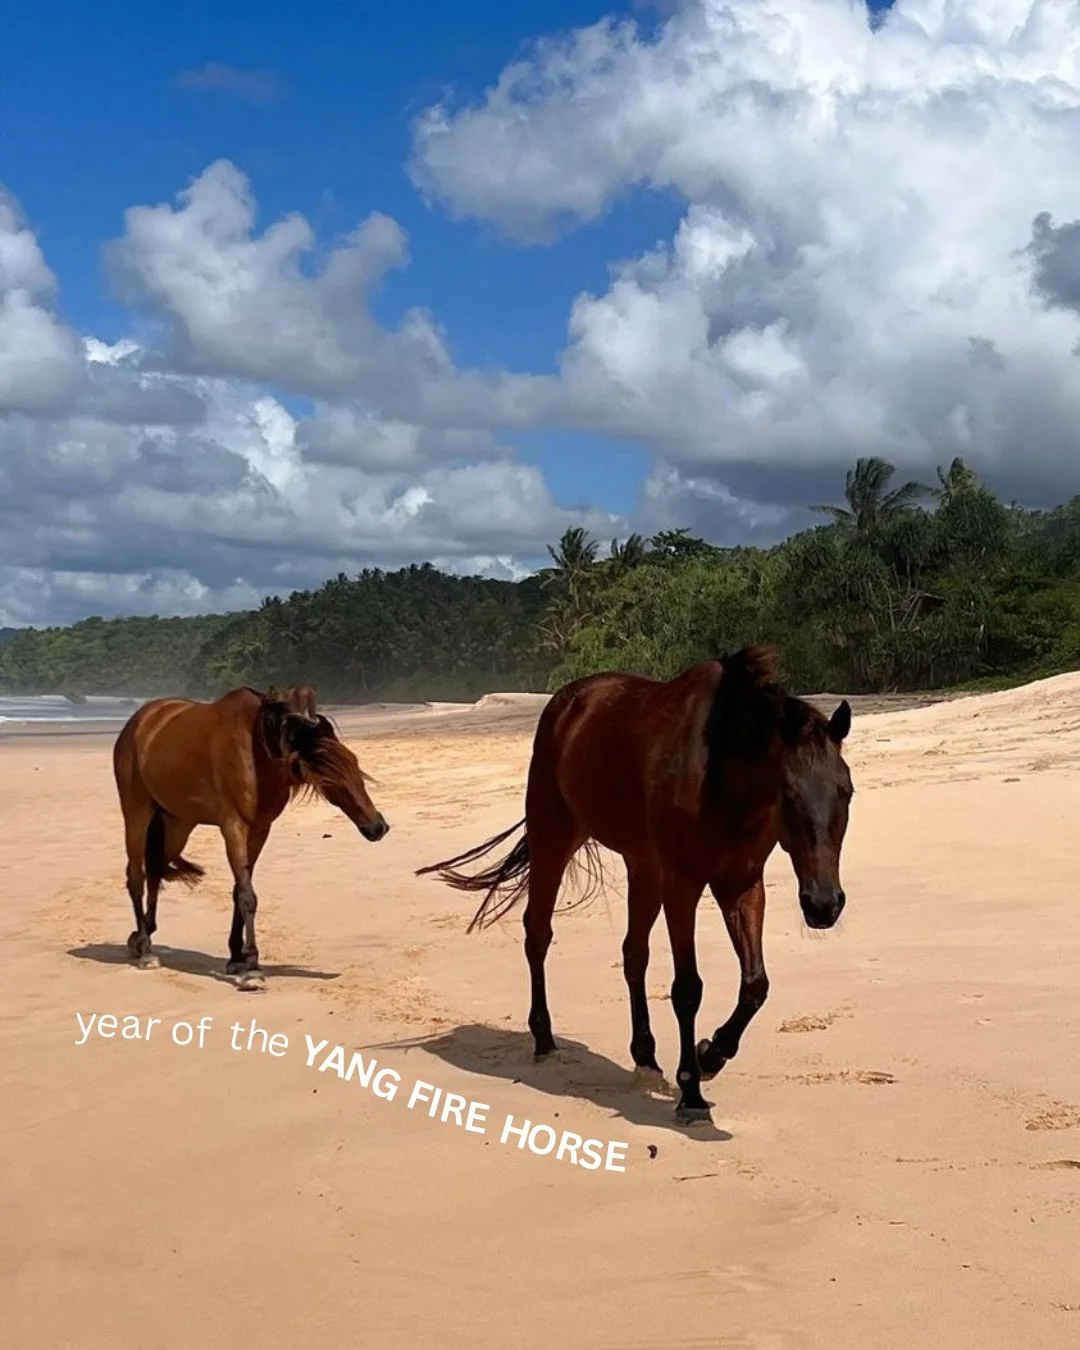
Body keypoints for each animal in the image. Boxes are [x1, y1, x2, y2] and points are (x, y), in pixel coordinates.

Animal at [112, 684, 390, 988]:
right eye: (330, 776)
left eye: (354, 763)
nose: (377, 827)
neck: (258, 754)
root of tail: (140, 720)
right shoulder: (233, 827)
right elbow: (247, 895)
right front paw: (252, 968)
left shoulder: (259, 830)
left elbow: (239, 891)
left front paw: (236, 957)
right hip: (137, 811)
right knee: (136, 875)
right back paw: (145, 950)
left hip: (178, 823)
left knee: (155, 870)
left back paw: (141, 937)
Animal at [416, 646, 853, 1122]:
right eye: (788, 796)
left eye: (846, 791)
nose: (823, 905)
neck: (718, 776)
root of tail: (565, 703)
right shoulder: (683, 884)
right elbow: (687, 989)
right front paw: (691, 1091)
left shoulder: (740, 884)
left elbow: (755, 984)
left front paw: (711, 1055)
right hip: (555, 838)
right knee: (539, 934)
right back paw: (544, 1040)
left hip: (641, 865)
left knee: (632, 953)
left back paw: (644, 1056)